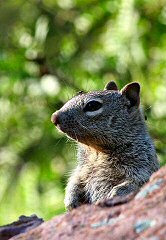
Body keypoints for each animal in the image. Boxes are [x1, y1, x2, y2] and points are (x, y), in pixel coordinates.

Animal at [51, 81, 159, 211]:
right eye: (77, 94)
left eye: (92, 106)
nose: (54, 117)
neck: (97, 153)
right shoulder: (82, 170)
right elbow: (74, 180)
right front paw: (70, 201)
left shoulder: (143, 166)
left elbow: (139, 182)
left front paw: (117, 192)